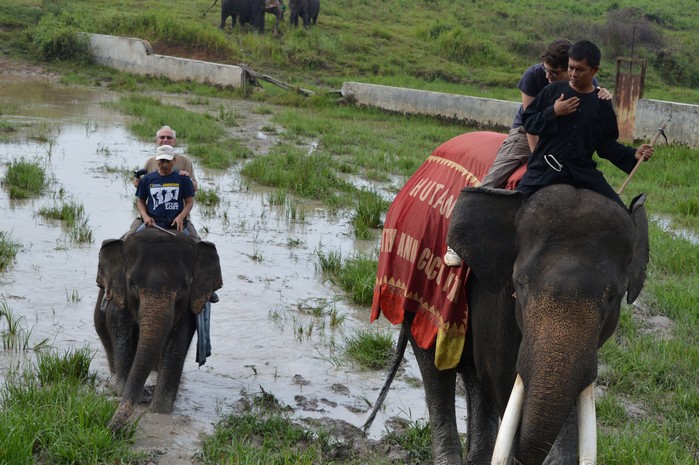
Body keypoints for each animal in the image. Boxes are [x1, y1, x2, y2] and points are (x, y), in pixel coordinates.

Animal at [94, 227, 223, 430]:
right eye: (132, 284)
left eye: (183, 287)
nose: (108, 429)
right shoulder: (118, 295)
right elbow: (120, 327)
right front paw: (122, 392)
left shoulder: (190, 305)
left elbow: (178, 341)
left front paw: (160, 411)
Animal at [370, 185, 648, 464]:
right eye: (520, 284)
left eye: (612, 297)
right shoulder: (495, 297)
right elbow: (502, 378)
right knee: (437, 368)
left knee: (475, 377)